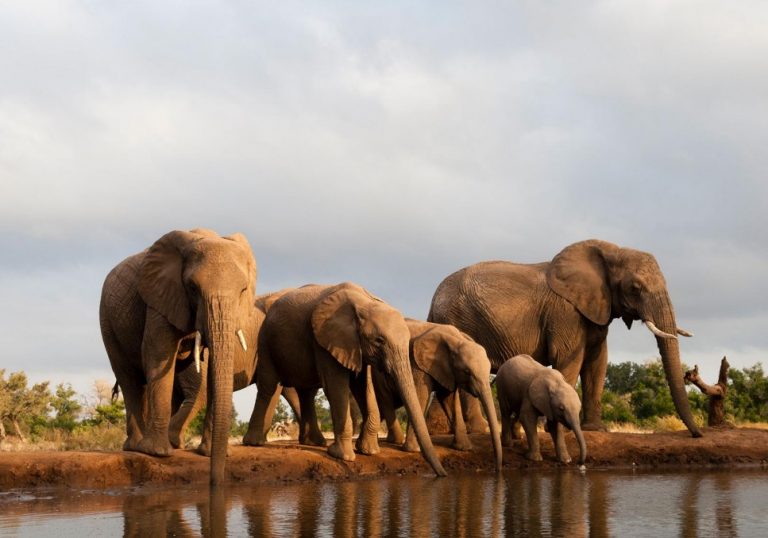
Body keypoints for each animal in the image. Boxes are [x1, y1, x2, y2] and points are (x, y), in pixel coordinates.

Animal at [100, 226, 258, 482]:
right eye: (192, 288)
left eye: (243, 290)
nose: (215, 481)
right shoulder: (159, 299)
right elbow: (158, 354)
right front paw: (157, 453)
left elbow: (213, 368)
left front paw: (208, 453)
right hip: (107, 320)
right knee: (128, 378)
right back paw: (137, 447)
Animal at [249, 280, 448, 474]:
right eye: (379, 341)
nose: (442, 474)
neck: (364, 303)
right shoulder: (325, 340)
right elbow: (335, 387)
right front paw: (342, 456)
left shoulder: (356, 348)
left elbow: (363, 387)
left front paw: (368, 451)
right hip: (265, 340)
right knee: (270, 386)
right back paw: (255, 443)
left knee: (307, 392)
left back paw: (314, 443)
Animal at [374, 318, 504, 468]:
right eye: (467, 372)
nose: (498, 469)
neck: (456, 340)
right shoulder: (417, 364)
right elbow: (420, 396)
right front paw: (413, 450)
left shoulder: (447, 370)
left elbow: (449, 399)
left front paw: (464, 448)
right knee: (385, 400)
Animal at [432, 239, 704, 436]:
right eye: (635, 288)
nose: (697, 434)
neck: (610, 252)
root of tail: (433, 301)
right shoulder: (565, 314)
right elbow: (569, 360)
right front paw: (561, 428)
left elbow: (597, 363)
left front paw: (596, 430)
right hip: (460, 321)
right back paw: (478, 431)